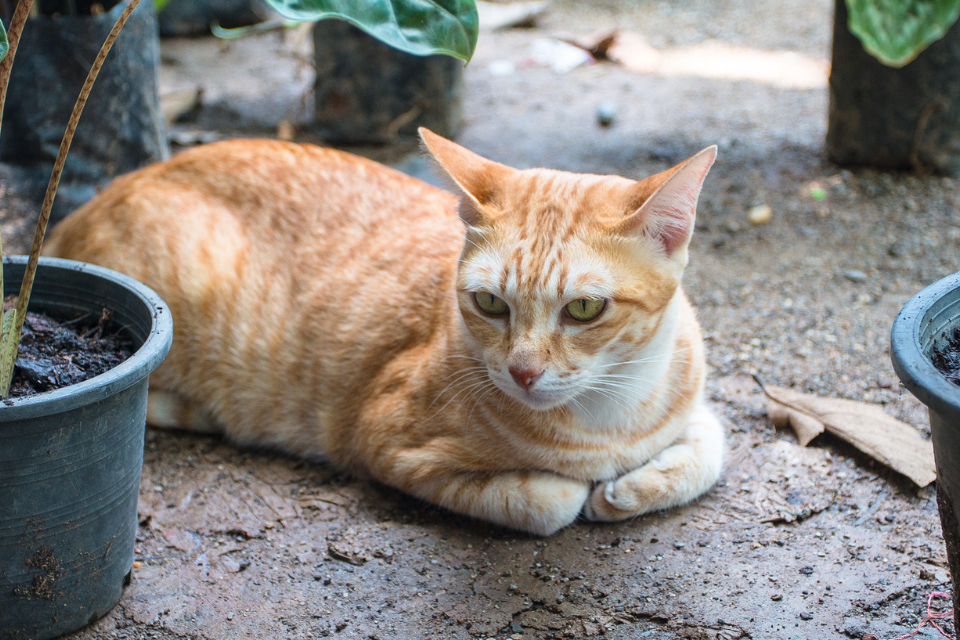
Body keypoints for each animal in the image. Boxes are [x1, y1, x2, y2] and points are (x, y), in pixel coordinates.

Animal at [43, 130, 720, 536]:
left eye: (583, 309)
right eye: (489, 303)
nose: (523, 373)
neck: (610, 418)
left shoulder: (696, 407)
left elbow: (710, 452)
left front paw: (632, 487)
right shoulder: (386, 443)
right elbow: (552, 501)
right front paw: (586, 491)